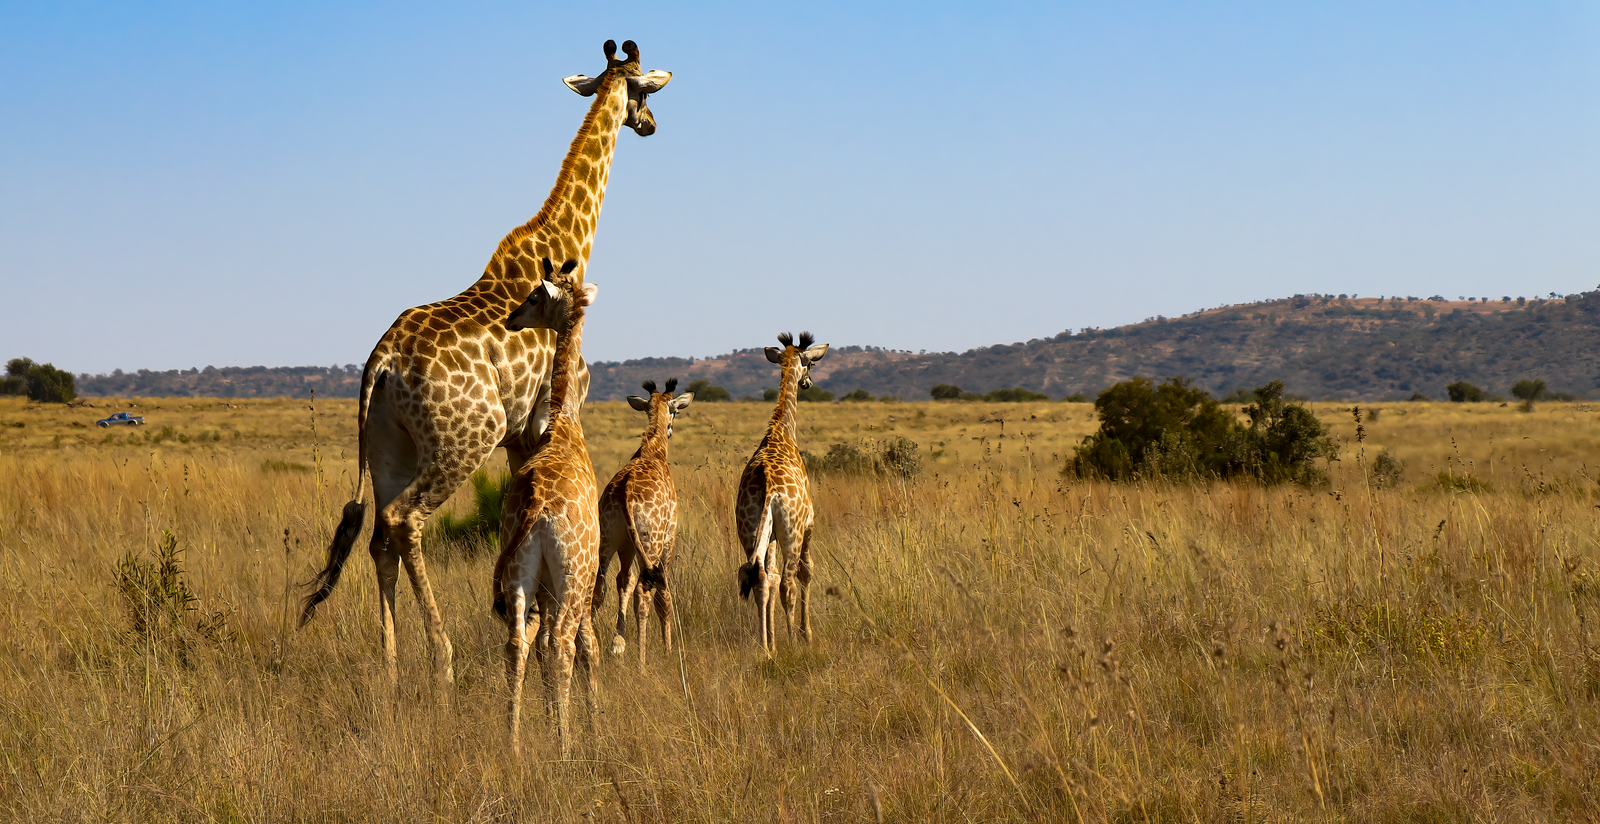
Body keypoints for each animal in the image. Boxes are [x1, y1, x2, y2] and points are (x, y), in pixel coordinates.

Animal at [296, 40, 670, 696]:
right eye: (644, 90)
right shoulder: (552, 414)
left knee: (377, 537)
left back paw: (391, 664)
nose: (649, 125)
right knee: (403, 519)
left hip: (391, 446)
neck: (570, 240)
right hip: (464, 438)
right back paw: (440, 660)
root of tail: (379, 363)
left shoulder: (521, 435)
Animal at [593, 378, 693, 669]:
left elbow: (623, 582)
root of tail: (624, 490)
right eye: (676, 410)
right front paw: (669, 649)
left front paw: (617, 643)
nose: (671, 430)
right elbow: (664, 592)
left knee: (600, 587)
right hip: (651, 540)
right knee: (644, 590)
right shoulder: (669, 538)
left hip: (608, 539)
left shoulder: (627, 544)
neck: (654, 451)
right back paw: (642, 662)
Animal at [736, 332, 830, 654]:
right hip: (792, 532)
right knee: (788, 580)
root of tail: (768, 487)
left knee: (762, 577)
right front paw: (805, 635)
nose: (808, 382)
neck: (783, 429)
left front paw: (773, 641)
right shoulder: (809, 523)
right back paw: (793, 644)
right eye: (811, 364)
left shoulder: (770, 534)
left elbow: (771, 578)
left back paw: (767, 649)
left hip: (749, 531)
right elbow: (807, 571)